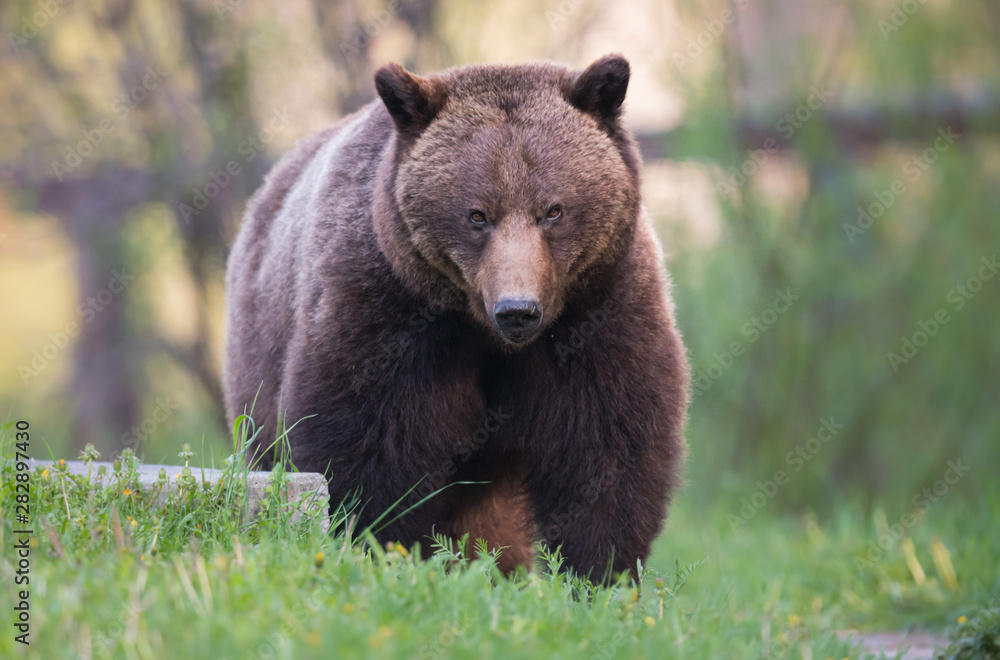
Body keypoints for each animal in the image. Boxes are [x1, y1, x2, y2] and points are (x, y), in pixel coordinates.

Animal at [223, 52, 688, 576]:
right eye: (476, 215)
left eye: (553, 210)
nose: (517, 310)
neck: (484, 332)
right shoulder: (388, 311)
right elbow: (369, 444)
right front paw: (378, 544)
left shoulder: (599, 311)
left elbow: (605, 446)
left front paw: (598, 572)